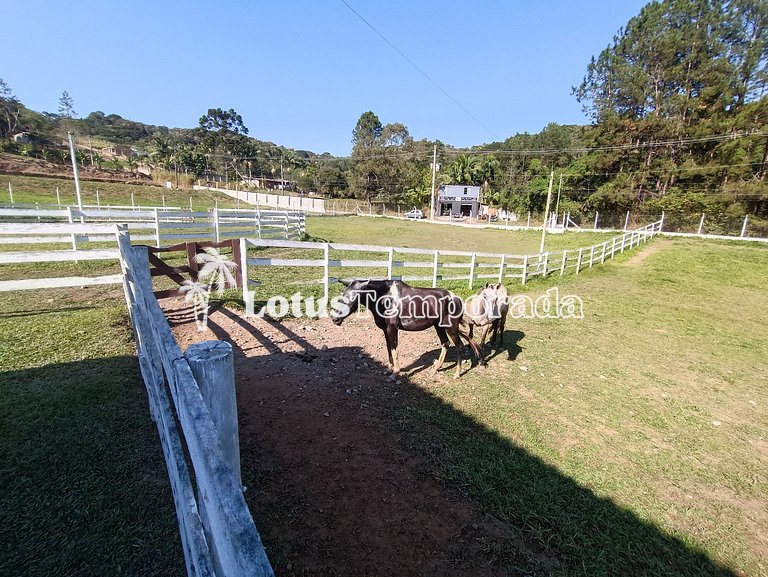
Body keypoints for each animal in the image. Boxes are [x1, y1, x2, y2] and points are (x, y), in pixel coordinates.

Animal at [330, 280, 486, 378]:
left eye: (354, 296)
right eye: (343, 295)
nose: (334, 318)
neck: (385, 297)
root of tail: (456, 298)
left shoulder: (392, 329)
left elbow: (395, 350)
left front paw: (395, 373)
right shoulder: (386, 331)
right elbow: (389, 350)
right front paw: (390, 369)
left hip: (451, 328)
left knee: (459, 346)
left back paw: (457, 374)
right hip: (439, 326)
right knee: (445, 344)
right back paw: (436, 368)